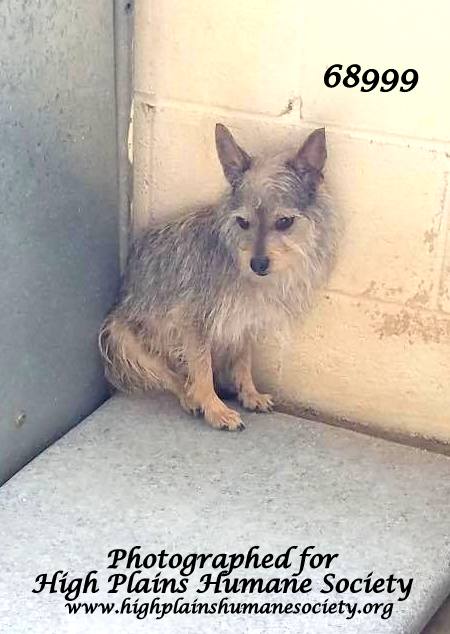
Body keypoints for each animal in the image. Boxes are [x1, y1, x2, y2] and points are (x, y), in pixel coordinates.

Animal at [98, 123, 338, 430]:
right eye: (243, 222)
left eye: (284, 222)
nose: (258, 264)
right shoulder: (192, 323)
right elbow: (202, 370)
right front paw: (215, 409)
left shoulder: (244, 325)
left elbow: (243, 362)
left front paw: (250, 394)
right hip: (120, 337)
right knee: (172, 376)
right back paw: (190, 397)